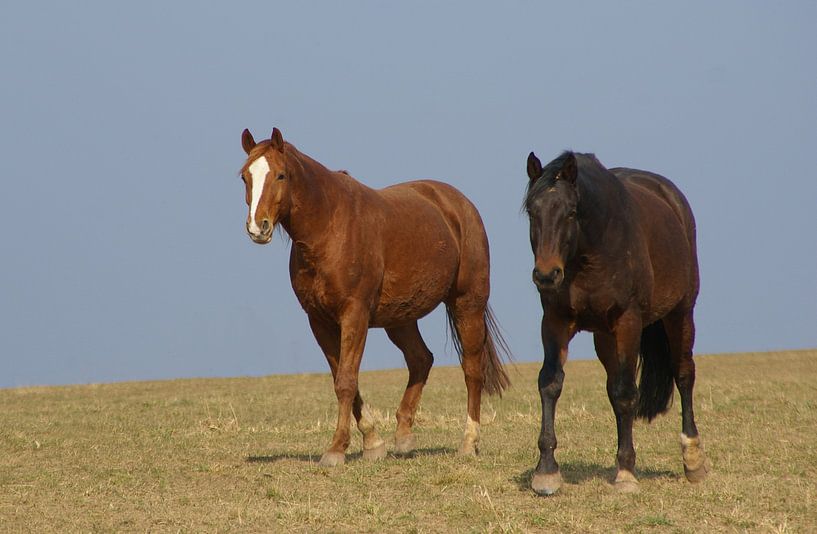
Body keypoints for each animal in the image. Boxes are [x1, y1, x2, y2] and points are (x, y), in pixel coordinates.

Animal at [238, 127, 510, 466]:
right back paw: (404, 436)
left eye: (281, 175)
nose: (257, 227)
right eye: (245, 176)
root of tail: (459, 204)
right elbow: (343, 378)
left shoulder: (354, 314)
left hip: (467, 304)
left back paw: (469, 441)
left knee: (472, 370)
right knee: (421, 360)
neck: (329, 227)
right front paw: (372, 441)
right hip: (401, 318)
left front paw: (336, 449)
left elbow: (345, 381)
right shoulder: (319, 321)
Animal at [523, 150, 708, 495]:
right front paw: (546, 470)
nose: (546, 274)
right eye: (532, 211)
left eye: (571, 212)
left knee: (683, 374)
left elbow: (625, 393)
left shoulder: (628, 322)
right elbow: (551, 383)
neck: (589, 254)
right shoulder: (555, 321)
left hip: (680, 314)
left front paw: (625, 473)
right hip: (605, 338)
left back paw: (693, 460)